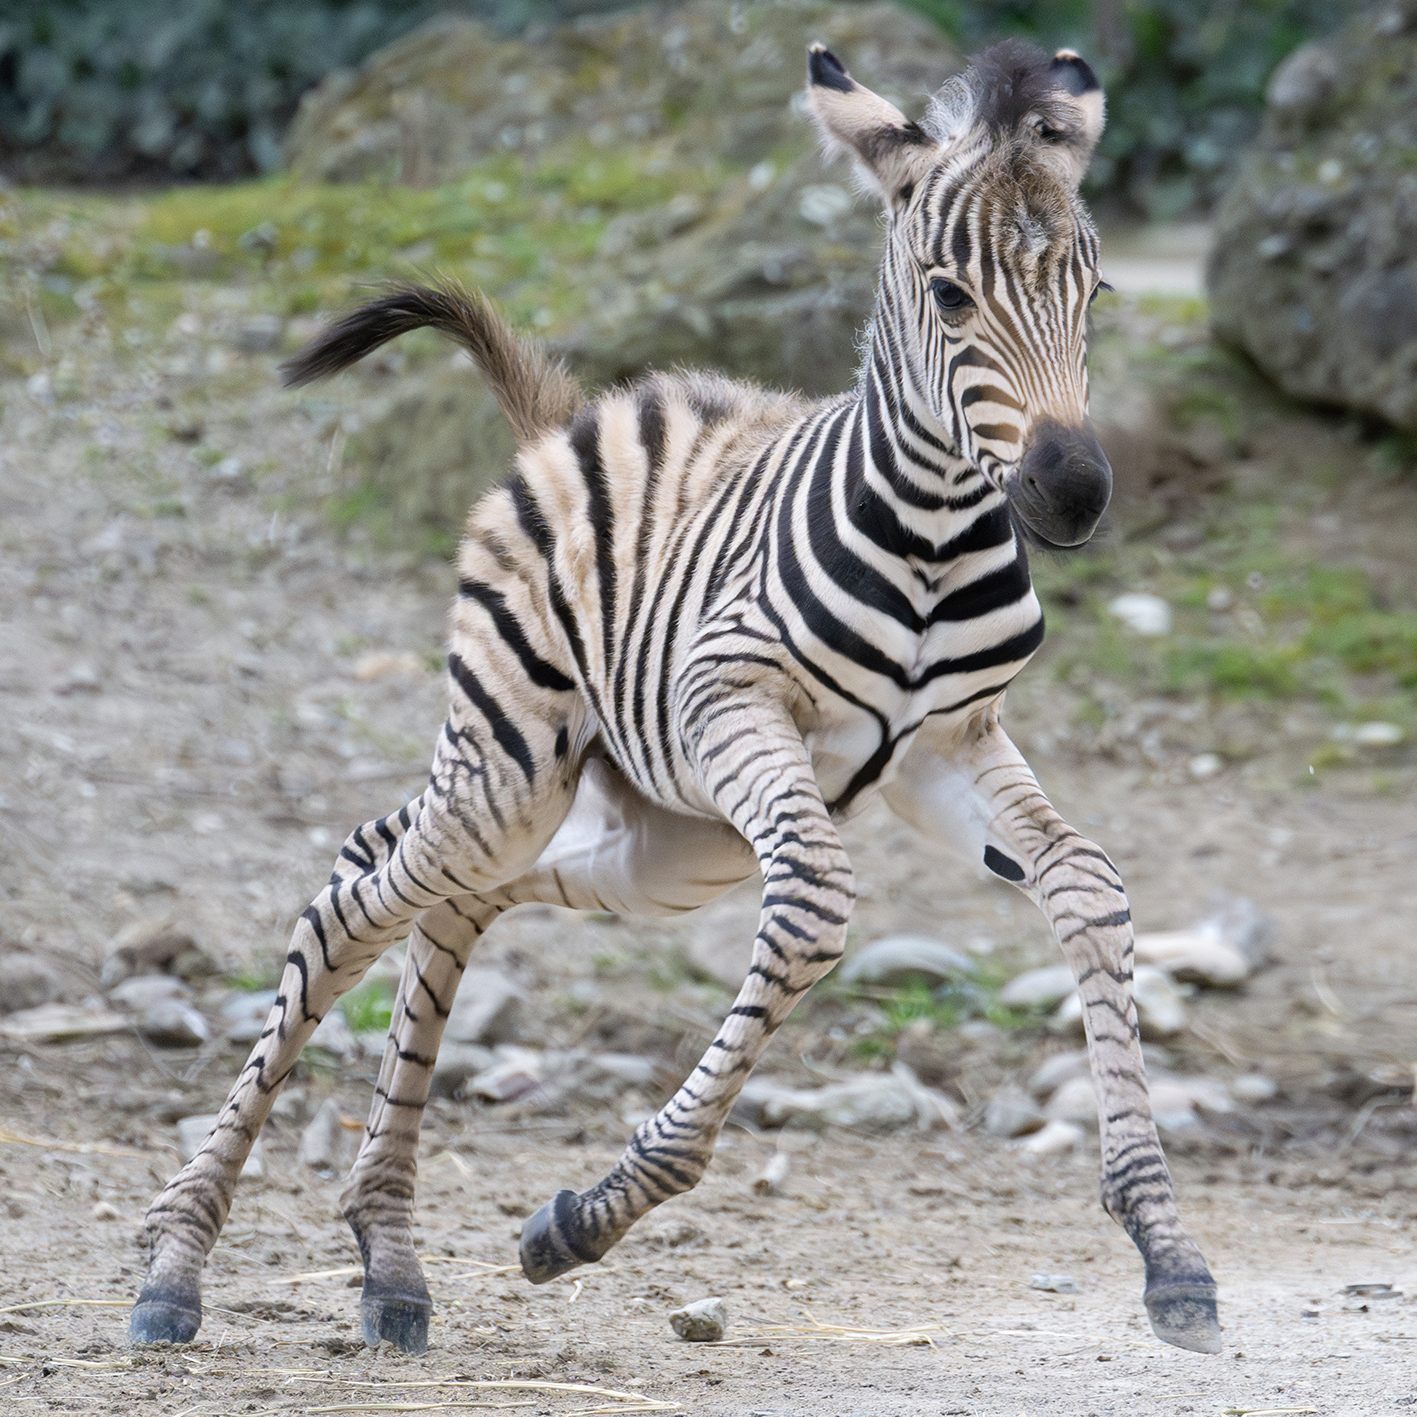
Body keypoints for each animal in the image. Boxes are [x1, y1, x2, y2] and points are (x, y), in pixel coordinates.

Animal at [129, 38, 1221, 1358]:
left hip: (660, 842)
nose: (1072, 494)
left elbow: (1088, 886)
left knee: (444, 896)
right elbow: (812, 908)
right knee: (352, 903)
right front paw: (586, 1218)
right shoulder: (732, 704)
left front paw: (1166, 1248)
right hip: (513, 767)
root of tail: (569, 419)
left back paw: (388, 1261)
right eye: (950, 298)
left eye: (1095, 293)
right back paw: (178, 1265)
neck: (932, 537)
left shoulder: (947, 748)